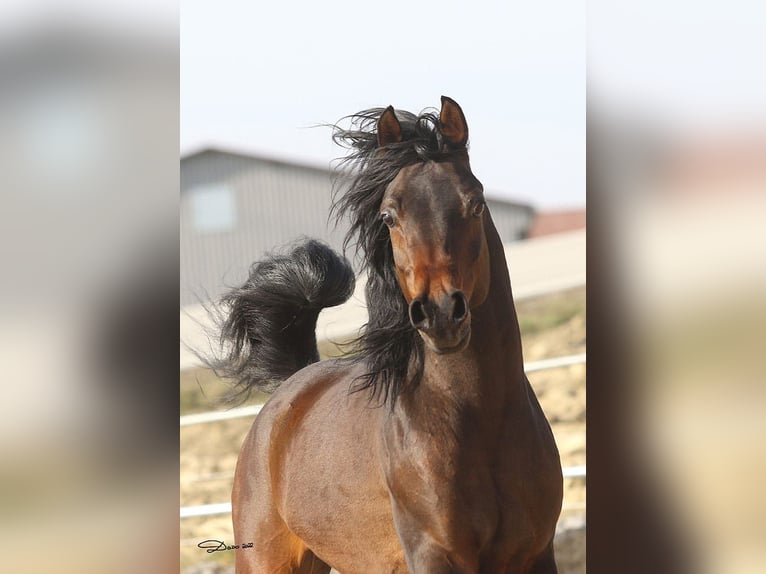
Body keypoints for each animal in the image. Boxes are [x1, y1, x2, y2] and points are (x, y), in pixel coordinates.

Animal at [211, 97, 563, 573]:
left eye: (475, 203)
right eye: (388, 216)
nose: (440, 313)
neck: (481, 423)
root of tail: (287, 395)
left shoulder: (537, 554)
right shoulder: (433, 555)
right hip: (267, 560)